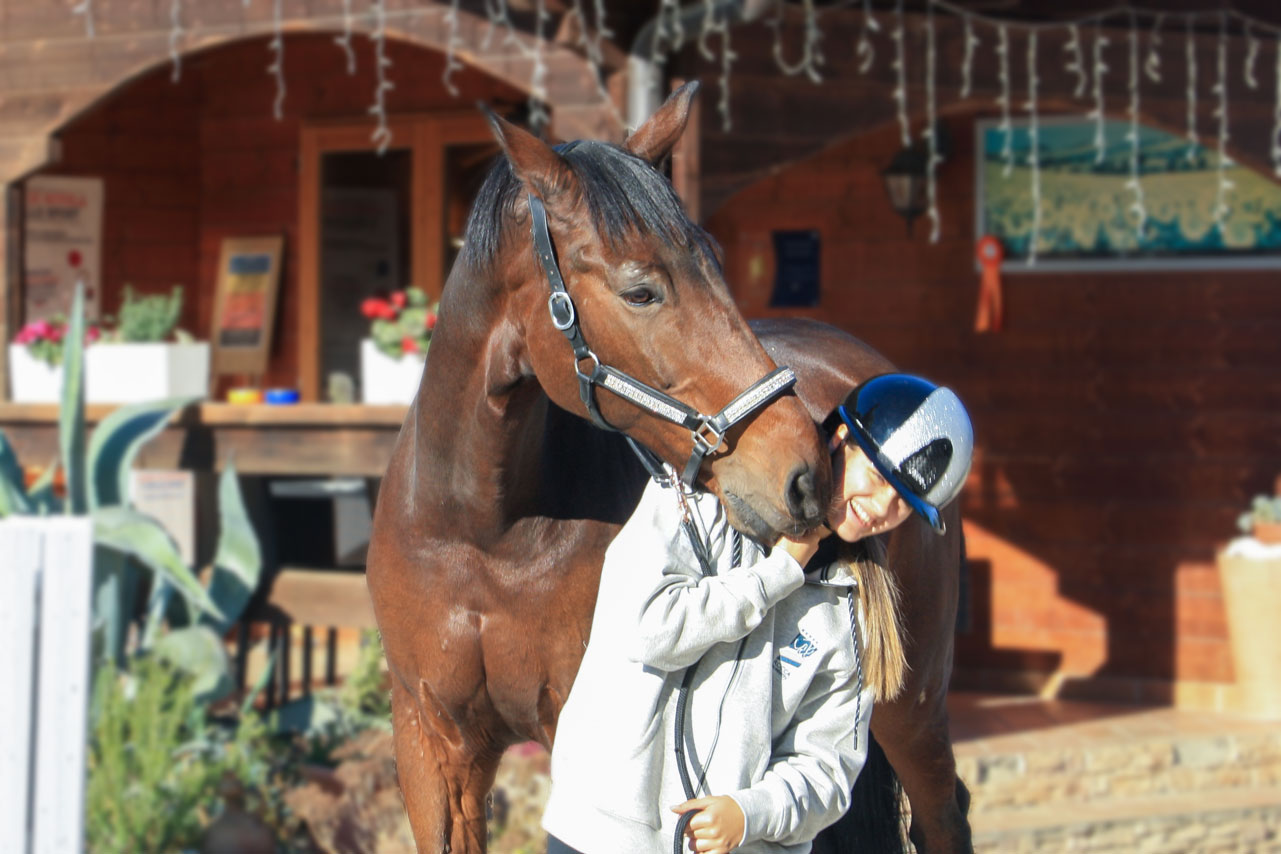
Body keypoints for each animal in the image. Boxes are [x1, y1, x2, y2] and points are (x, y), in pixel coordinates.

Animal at [366, 83, 971, 854]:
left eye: (714, 260)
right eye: (640, 291)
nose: (807, 473)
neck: (484, 534)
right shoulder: (434, 748)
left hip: (913, 710)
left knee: (942, 812)